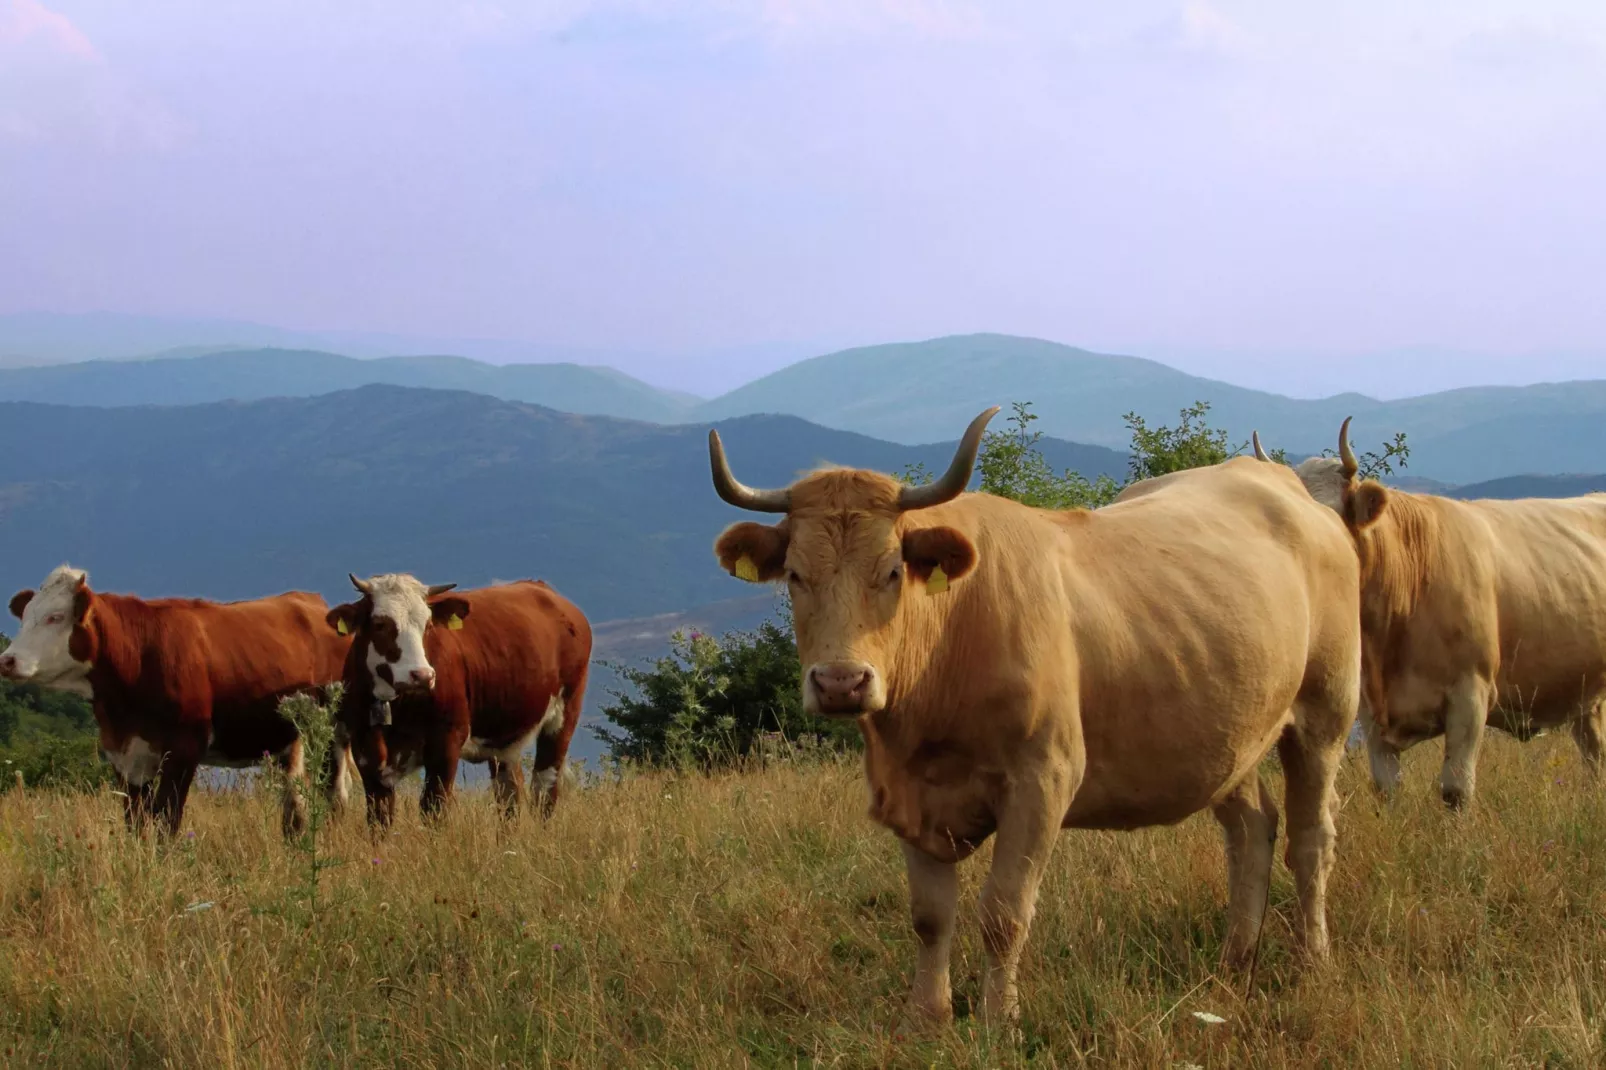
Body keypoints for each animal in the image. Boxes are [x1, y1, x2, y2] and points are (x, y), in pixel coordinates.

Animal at [0, 562, 351, 835]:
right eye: (25, 616)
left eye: (55, 617)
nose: (7, 660)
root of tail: (312, 603)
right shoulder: (124, 754)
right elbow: (136, 823)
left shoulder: (184, 748)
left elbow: (167, 821)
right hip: (288, 740)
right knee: (295, 805)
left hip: (332, 733)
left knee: (335, 795)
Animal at [322, 571, 594, 819]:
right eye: (380, 624)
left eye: (428, 625)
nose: (423, 676)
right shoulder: (365, 752)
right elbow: (379, 816)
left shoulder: (447, 742)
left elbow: (434, 808)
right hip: (503, 738)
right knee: (509, 793)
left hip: (564, 716)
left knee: (544, 788)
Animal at [709, 408, 1361, 1028]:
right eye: (796, 575)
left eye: (892, 571)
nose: (841, 682)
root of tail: (1290, 490)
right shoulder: (908, 791)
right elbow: (929, 916)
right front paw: (926, 1018)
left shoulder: (1042, 778)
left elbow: (1003, 912)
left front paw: (1000, 1019)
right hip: (1231, 732)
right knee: (1251, 829)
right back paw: (1234, 963)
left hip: (1325, 711)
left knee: (1311, 837)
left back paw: (1312, 960)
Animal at [1252, 420, 1606, 803]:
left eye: (1332, 515)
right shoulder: (1370, 710)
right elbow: (1387, 789)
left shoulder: (1471, 695)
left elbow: (1456, 789)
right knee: (1594, 751)